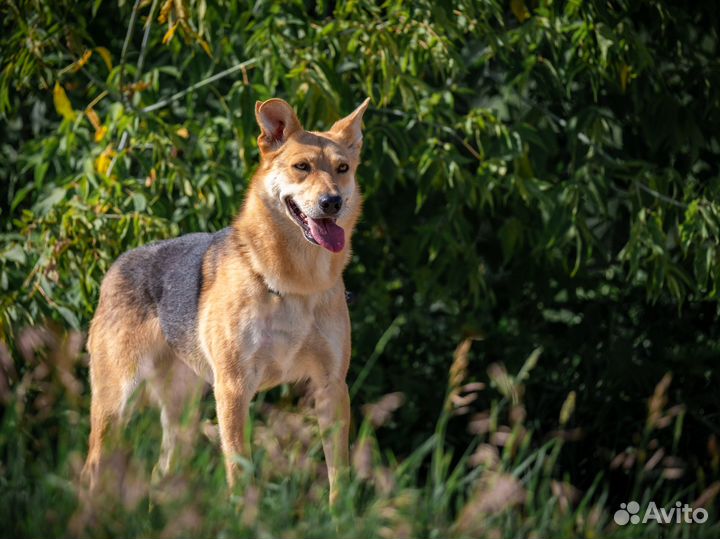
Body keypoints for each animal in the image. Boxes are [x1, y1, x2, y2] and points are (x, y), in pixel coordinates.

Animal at [83, 96, 372, 502]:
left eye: (342, 169)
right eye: (302, 167)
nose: (331, 202)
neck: (293, 285)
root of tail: (116, 264)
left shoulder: (331, 387)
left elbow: (338, 478)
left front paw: (340, 515)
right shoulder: (234, 390)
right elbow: (240, 474)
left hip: (183, 418)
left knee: (160, 472)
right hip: (117, 403)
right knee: (92, 469)